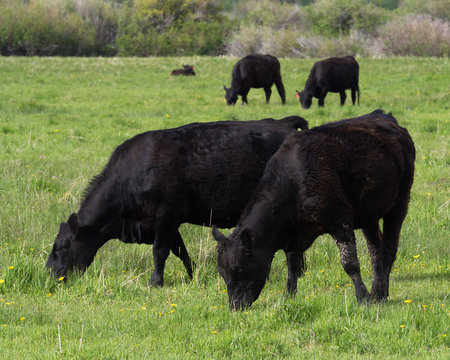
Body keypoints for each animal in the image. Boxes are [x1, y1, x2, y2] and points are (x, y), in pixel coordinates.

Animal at [47, 115, 308, 286]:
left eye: (60, 247)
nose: (49, 275)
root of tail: (284, 122)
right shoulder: (168, 223)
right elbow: (180, 251)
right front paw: (192, 276)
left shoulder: (165, 215)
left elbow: (160, 251)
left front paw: (155, 282)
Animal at [213, 109, 416, 310]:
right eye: (222, 272)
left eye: (239, 269)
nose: (235, 306)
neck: (296, 181)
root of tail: (383, 116)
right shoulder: (294, 233)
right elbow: (293, 265)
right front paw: (289, 295)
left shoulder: (340, 220)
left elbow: (349, 263)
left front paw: (362, 297)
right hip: (370, 214)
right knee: (375, 249)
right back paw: (377, 292)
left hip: (400, 201)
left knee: (389, 248)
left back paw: (380, 292)